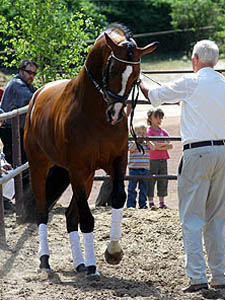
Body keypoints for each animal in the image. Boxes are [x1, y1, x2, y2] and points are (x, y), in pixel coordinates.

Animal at [22, 24, 156, 278]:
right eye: (112, 70)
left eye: (135, 77)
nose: (115, 114)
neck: (93, 112)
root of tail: (38, 94)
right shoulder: (77, 168)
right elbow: (86, 217)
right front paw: (94, 266)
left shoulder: (116, 162)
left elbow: (117, 198)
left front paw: (113, 253)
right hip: (40, 167)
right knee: (43, 211)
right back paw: (45, 261)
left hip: (84, 175)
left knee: (69, 217)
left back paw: (79, 263)